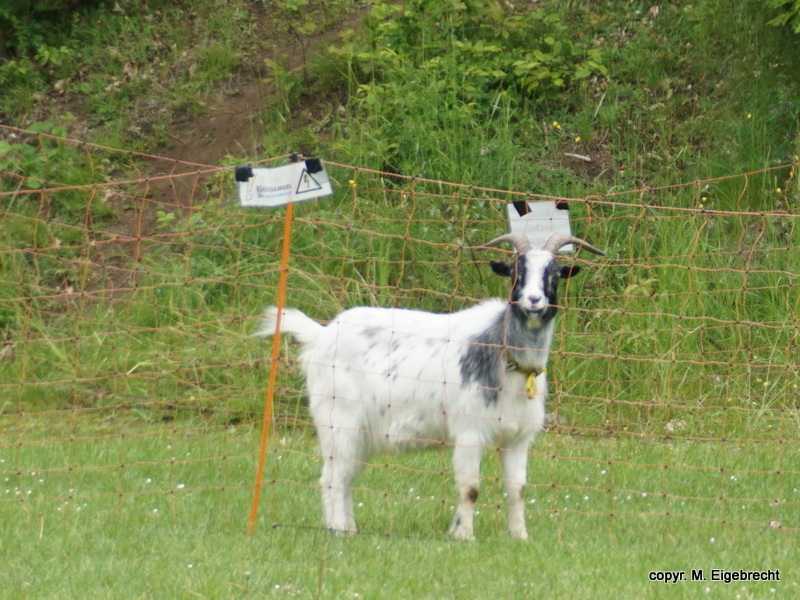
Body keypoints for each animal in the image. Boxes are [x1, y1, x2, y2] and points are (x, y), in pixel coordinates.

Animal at [260, 231, 604, 540]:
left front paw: (520, 536)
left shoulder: (517, 438)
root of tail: (320, 334)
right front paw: (463, 535)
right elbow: (470, 488)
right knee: (332, 478)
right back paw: (339, 531)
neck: (506, 357)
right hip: (339, 422)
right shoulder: (470, 432)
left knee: (345, 478)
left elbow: (517, 489)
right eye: (516, 273)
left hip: (362, 435)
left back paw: (350, 528)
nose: (533, 301)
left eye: (555, 275)